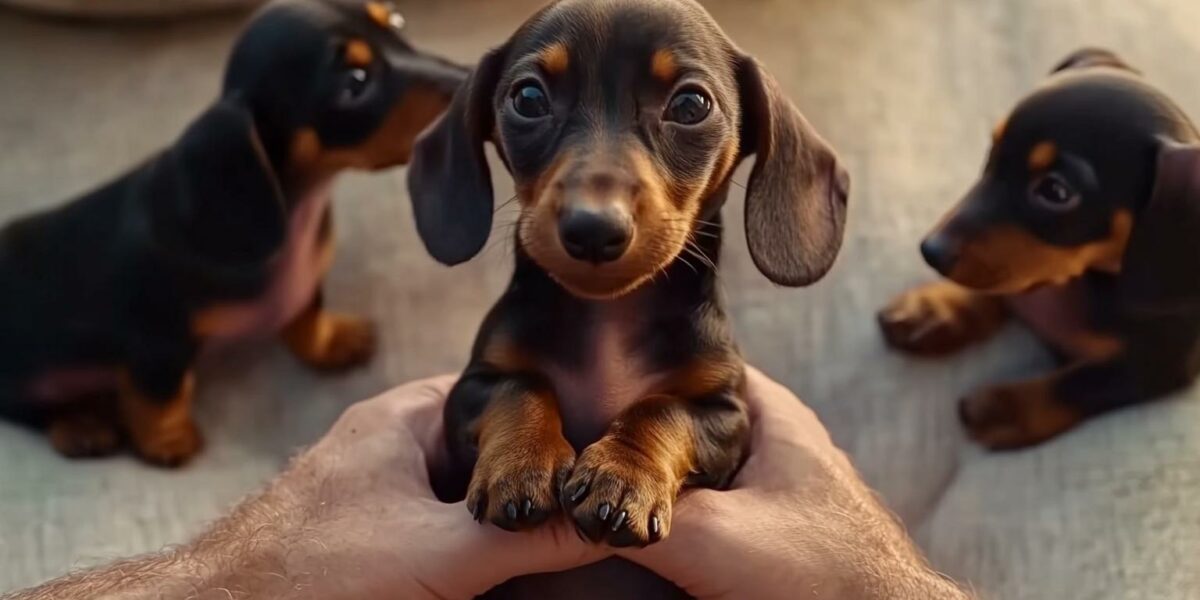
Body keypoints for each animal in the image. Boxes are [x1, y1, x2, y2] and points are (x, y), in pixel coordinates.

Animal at [0, 0, 465, 465]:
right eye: (355, 82)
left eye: (396, 22)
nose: (470, 76)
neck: (299, 203)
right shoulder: (156, 337)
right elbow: (160, 393)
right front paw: (167, 440)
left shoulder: (305, 287)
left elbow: (306, 318)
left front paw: (332, 340)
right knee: (24, 407)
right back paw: (79, 425)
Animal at [408, 0, 849, 595]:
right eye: (528, 98)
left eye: (690, 104)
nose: (593, 228)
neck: (609, 320)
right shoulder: (469, 389)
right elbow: (519, 385)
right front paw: (523, 462)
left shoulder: (727, 415)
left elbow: (662, 408)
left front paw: (622, 477)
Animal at [878, 46, 1200, 451]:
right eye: (993, 150)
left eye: (1056, 191)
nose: (930, 251)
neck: (1089, 281)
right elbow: (1003, 288)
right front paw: (935, 308)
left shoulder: (1161, 363)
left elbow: (1084, 383)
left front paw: (1005, 408)